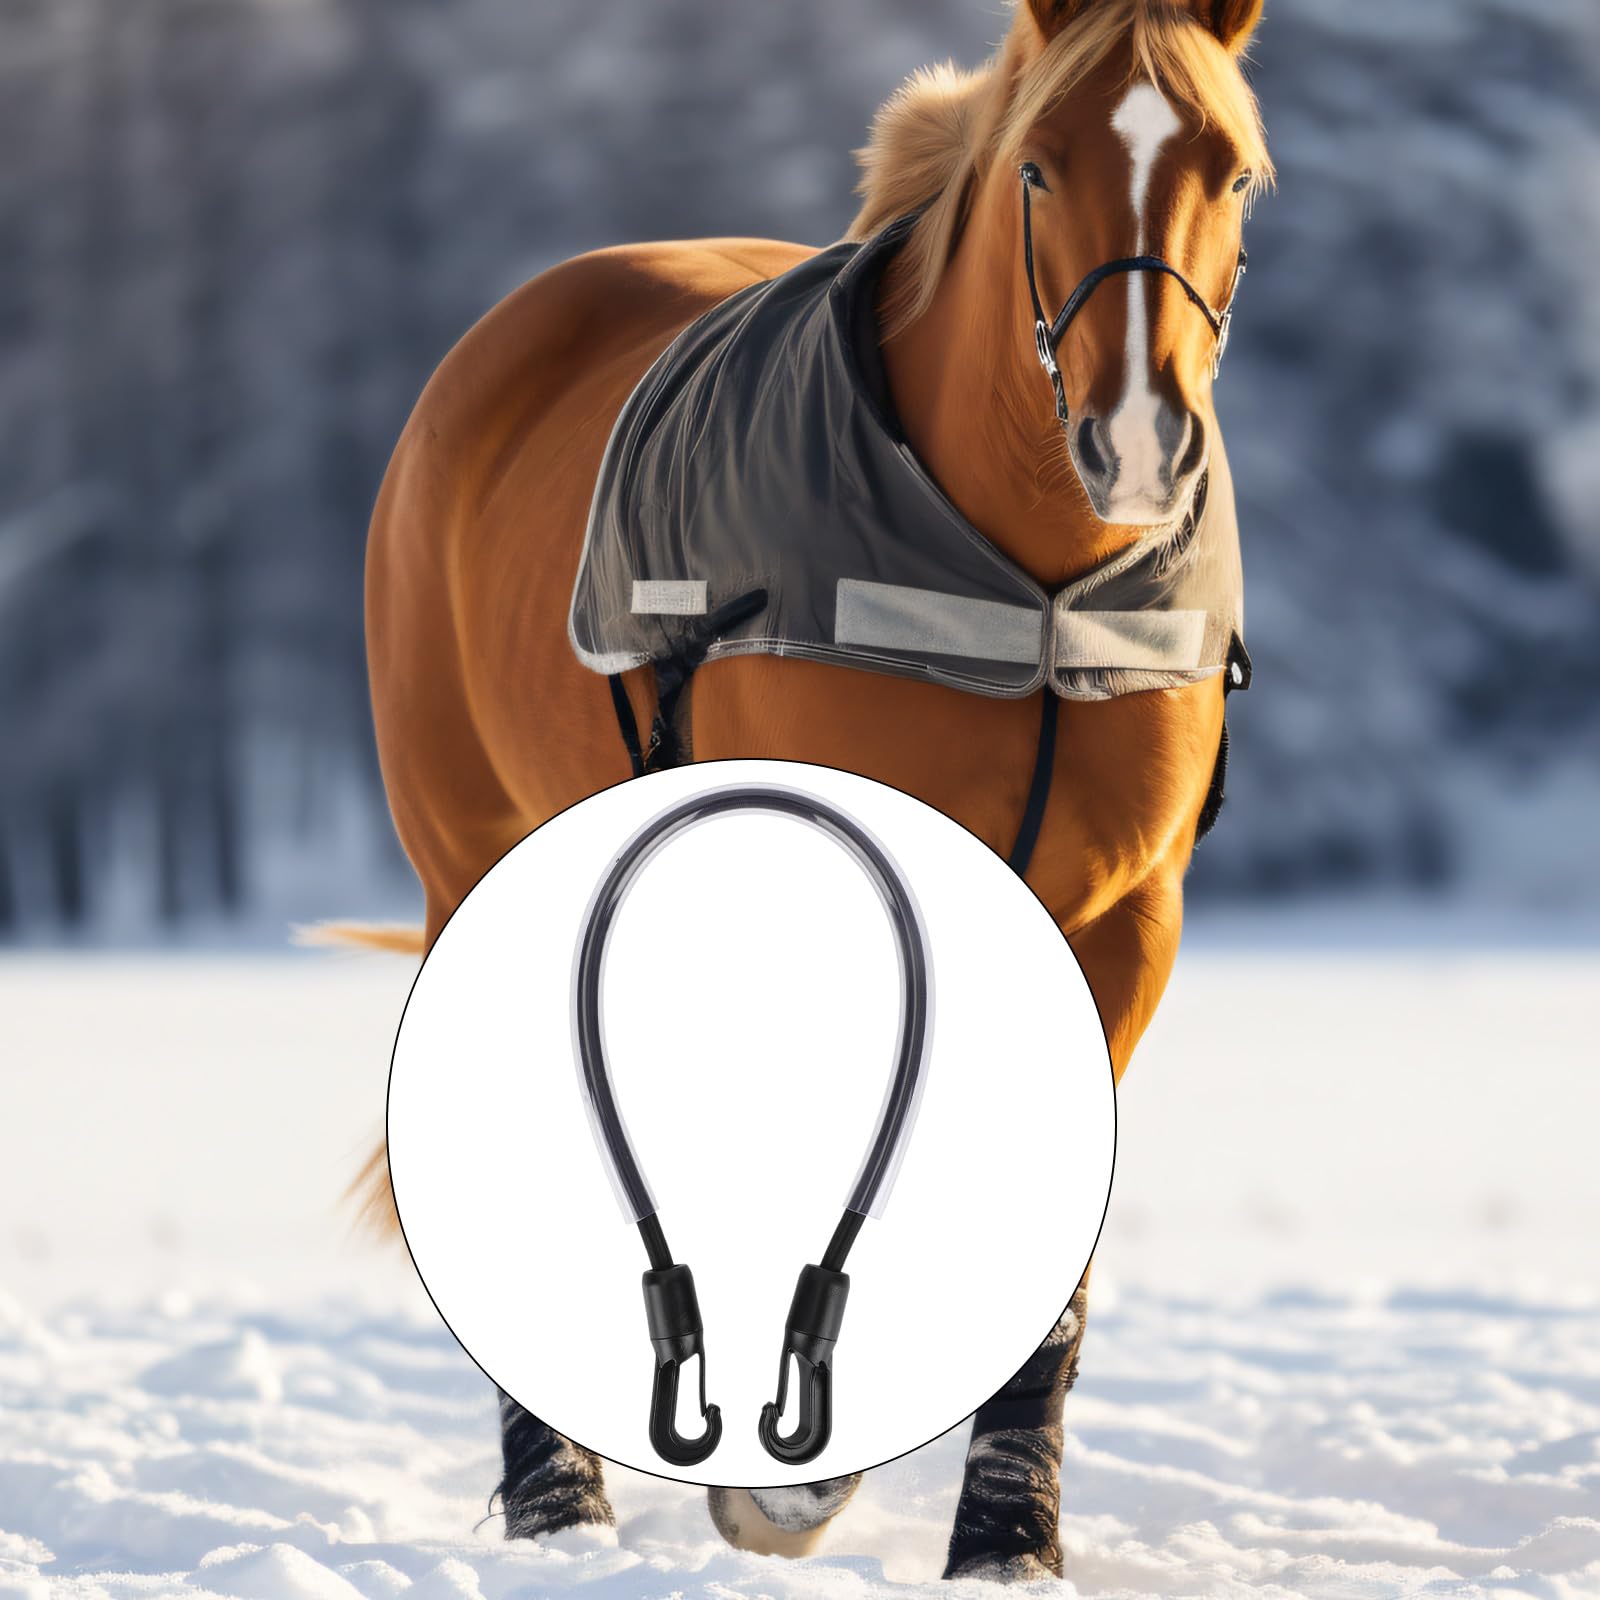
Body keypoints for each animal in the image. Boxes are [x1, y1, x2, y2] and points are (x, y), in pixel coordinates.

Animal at [350, 0, 1270, 1581]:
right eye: (1037, 166)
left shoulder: (1122, 923)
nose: (1139, 443)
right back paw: (557, 1508)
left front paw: (1007, 1543)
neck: (1026, 581)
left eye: (1236, 172)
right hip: (470, 852)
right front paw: (788, 1486)